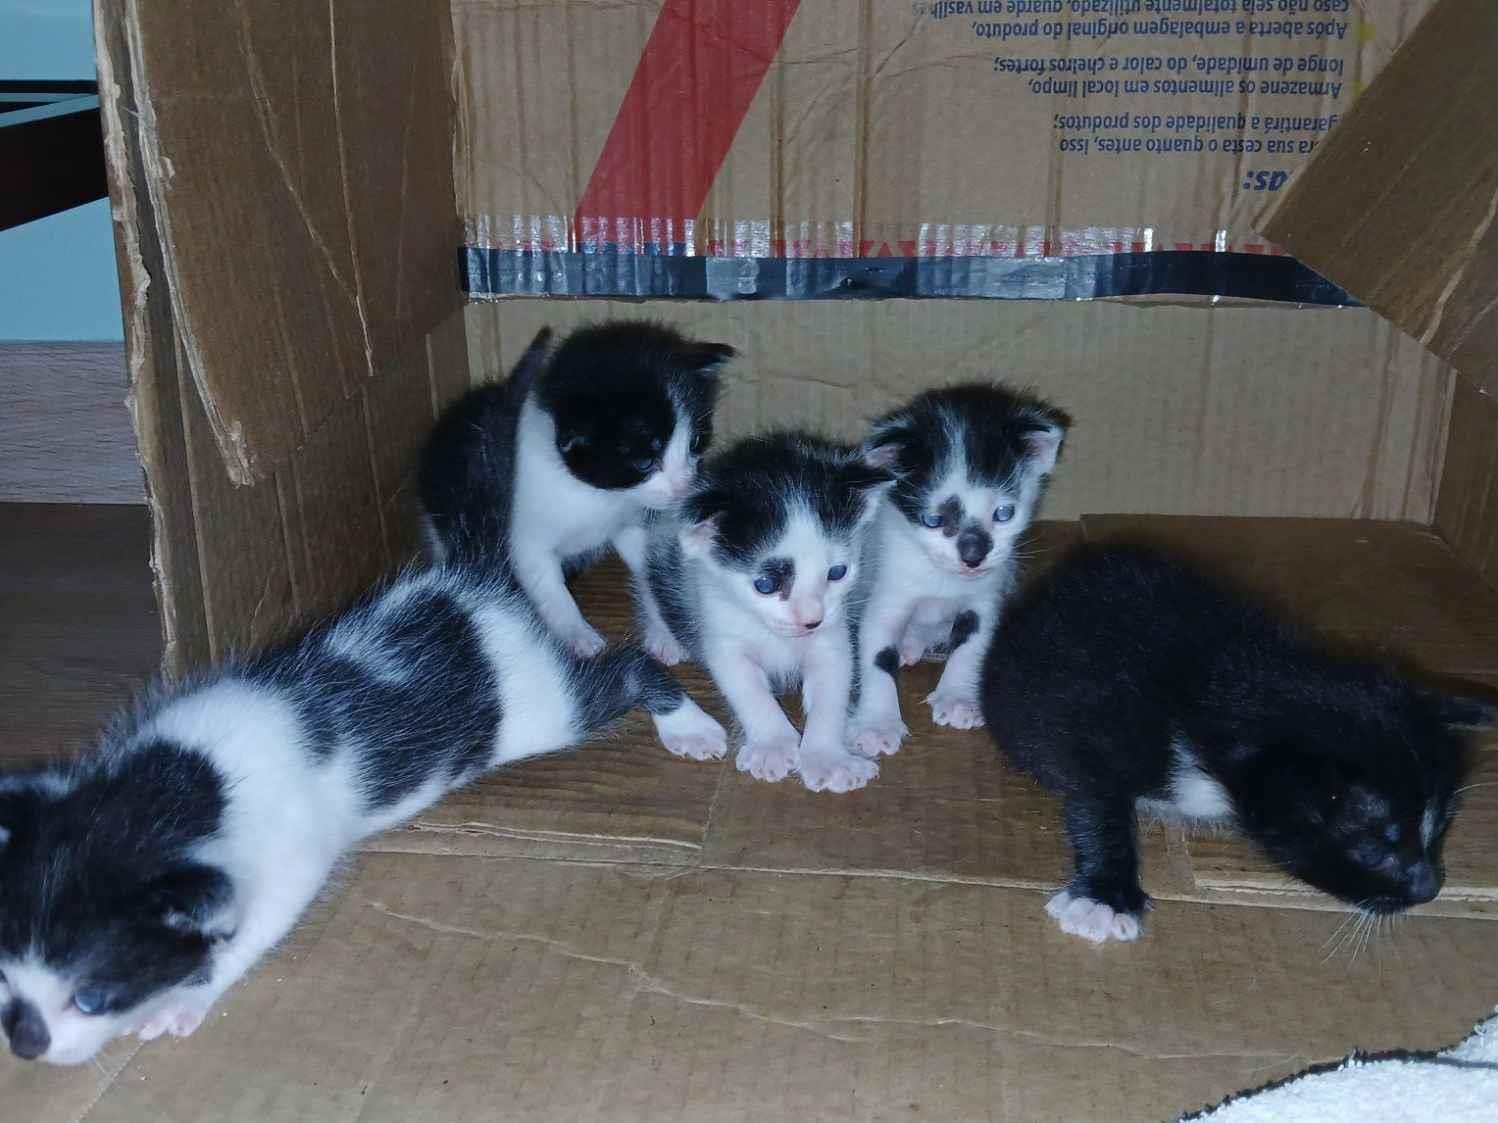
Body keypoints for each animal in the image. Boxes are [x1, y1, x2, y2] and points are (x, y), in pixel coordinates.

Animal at [0, 559, 725, 1064]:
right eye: (7, 977)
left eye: (91, 997)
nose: (26, 1044)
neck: (177, 787)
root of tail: (472, 593)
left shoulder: (291, 859)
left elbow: (258, 926)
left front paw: (187, 997)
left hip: (539, 707)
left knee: (626, 670)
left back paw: (689, 724)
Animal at [419, 320, 734, 657]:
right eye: (645, 461)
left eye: (695, 443)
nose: (684, 486)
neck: (597, 496)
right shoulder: (524, 540)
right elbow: (548, 587)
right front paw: (576, 635)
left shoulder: (633, 521)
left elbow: (651, 565)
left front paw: (664, 633)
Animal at [640, 432, 895, 793]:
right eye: (765, 585)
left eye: (837, 573)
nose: (810, 620)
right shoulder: (720, 626)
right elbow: (746, 686)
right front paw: (772, 745)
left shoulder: (832, 634)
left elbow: (833, 684)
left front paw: (828, 757)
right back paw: (663, 637)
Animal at [848, 384, 1068, 759]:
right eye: (933, 520)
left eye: (1004, 513)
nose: (973, 556)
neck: (942, 579)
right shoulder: (888, 588)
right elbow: (876, 649)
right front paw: (877, 724)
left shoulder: (988, 594)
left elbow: (974, 639)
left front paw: (959, 698)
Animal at [979, 540, 1493, 944]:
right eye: (1374, 849)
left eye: (1442, 829)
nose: (1430, 889)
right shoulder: (1098, 724)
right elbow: (1096, 800)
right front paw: (1107, 897)